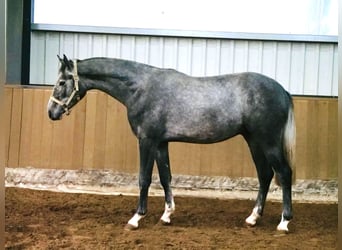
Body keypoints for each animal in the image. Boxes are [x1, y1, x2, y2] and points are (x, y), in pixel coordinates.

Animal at [46, 54, 296, 232]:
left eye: (61, 82)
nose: (51, 112)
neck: (140, 88)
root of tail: (282, 90)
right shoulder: (160, 143)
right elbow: (165, 176)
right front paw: (166, 215)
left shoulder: (146, 140)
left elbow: (144, 178)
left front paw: (136, 218)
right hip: (253, 141)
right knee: (265, 175)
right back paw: (253, 218)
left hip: (268, 142)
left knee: (283, 173)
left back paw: (284, 222)